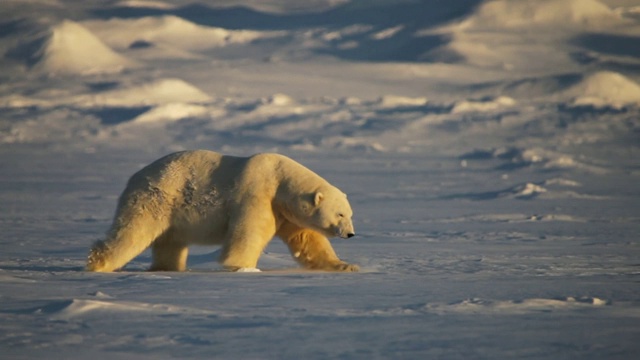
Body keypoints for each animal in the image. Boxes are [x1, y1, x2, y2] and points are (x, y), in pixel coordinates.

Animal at [85, 150, 358, 272]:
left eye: (349, 214)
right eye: (340, 214)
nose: (350, 234)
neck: (280, 179)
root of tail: (135, 177)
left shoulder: (286, 213)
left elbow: (309, 242)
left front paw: (346, 266)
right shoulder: (258, 195)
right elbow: (248, 234)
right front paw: (241, 266)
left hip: (172, 213)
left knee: (170, 243)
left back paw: (168, 268)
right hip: (155, 199)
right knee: (132, 232)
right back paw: (98, 263)